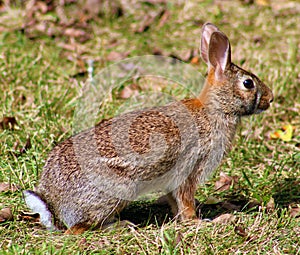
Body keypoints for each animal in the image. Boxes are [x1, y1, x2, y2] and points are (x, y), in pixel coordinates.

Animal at [23, 22, 274, 234]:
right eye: (248, 83)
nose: (270, 99)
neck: (215, 109)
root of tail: (53, 204)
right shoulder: (190, 168)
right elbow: (185, 200)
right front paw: (200, 222)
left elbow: (175, 200)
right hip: (117, 190)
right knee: (80, 228)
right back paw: (121, 225)